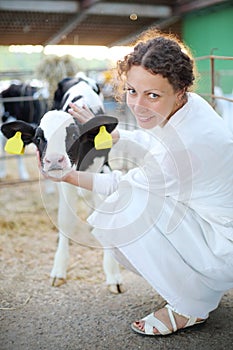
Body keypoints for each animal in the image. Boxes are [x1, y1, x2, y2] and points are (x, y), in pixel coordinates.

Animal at [1, 75, 125, 294]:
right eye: (39, 138)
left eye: (74, 136)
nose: (54, 160)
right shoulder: (66, 181)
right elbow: (65, 220)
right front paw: (59, 270)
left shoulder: (104, 169)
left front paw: (113, 275)